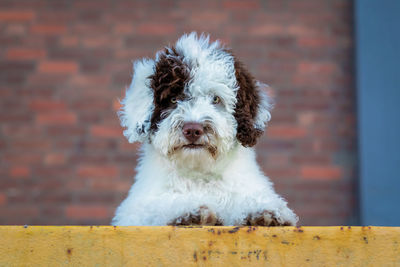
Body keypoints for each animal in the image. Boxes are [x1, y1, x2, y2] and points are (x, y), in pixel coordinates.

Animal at [111, 32, 298, 227]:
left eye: (215, 99)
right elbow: (157, 206)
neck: (199, 174)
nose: (193, 130)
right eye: (173, 100)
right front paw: (189, 211)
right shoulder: (134, 210)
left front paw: (263, 212)